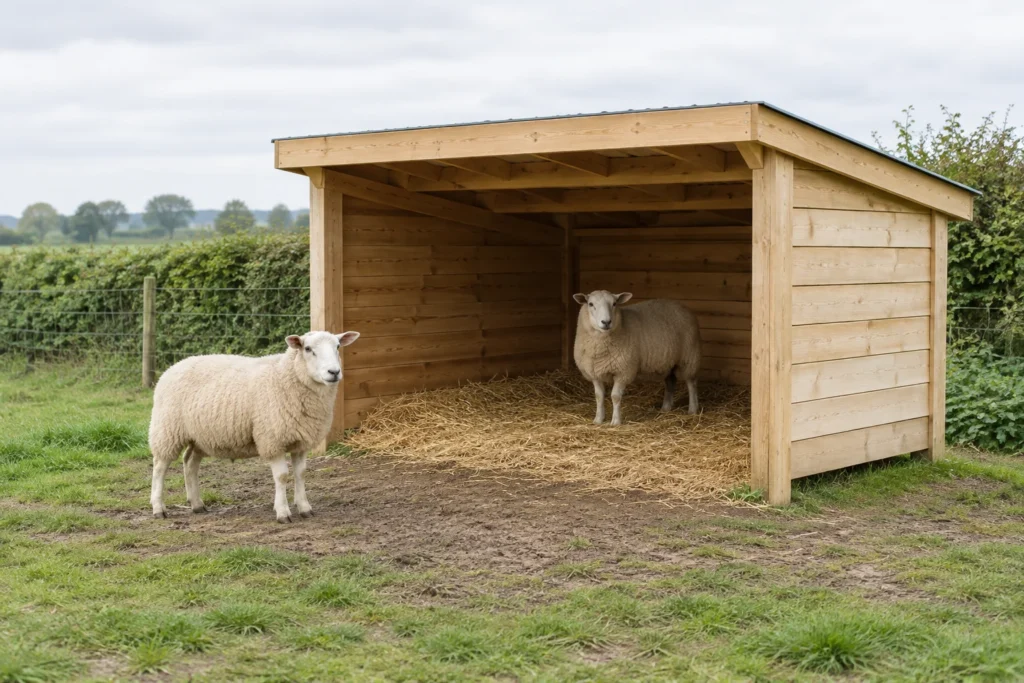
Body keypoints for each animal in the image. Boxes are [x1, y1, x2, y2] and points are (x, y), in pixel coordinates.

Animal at [148, 330, 360, 523]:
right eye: (308, 349)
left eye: (338, 346)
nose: (334, 372)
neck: (286, 375)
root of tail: (174, 366)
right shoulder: (272, 440)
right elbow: (282, 476)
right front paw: (283, 512)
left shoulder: (300, 441)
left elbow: (300, 474)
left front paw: (304, 508)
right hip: (166, 430)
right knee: (159, 467)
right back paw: (158, 508)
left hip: (200, 436)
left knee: (190, 462)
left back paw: (197, 504)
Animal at [573, 290, 701, 426]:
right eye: (590, 304)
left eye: (614, 303)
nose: (606, 322)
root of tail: (682, 306)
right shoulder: (595, 373)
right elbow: (599, 396)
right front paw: (598, 419)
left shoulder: (623, 371)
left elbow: (615, 396)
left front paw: (616, 421)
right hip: (668, 363)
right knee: (670, 382)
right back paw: (665, 408)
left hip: (690, 358)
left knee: (691, 383)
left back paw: (693, 409)